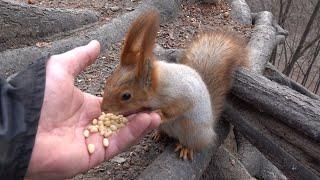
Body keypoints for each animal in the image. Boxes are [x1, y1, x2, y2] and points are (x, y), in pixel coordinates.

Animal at [101, 10, 251, 160]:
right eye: (108, 81)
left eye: (126, 96)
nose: (103, 108)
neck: (158, 87)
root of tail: (210, 130)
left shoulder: (181, 95)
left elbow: (177, 108)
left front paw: (160, 114)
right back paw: (159, 134)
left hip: (192, 130)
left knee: (194, 142)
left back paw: (186, 148)